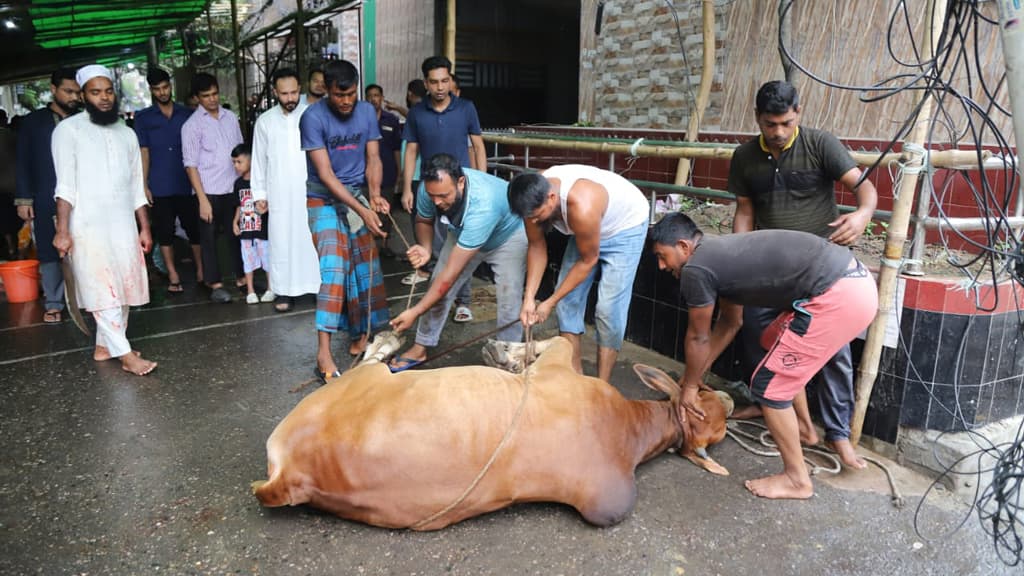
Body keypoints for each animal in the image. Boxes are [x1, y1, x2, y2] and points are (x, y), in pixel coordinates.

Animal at [251, 336, 733, 528]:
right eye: (706, 392)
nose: (730, 401)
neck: (626, 428)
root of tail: (289, 477)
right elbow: (559, 340)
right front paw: (508, 351)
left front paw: (507, 353)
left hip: (366, 383)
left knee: (368, 363)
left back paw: (388, 340)